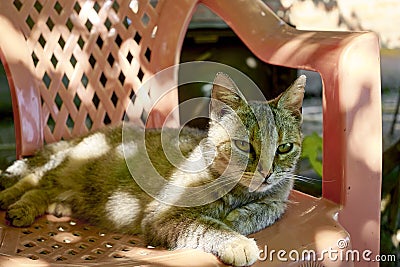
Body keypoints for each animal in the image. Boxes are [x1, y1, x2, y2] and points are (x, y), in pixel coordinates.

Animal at [0, 72, 304, 266]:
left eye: (284, 147)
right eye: (244, 145)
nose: (266, 172)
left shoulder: (278, 201)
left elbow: (265, 210)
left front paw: (238, 217)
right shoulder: (165, 216)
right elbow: (207, 226)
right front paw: (237, 241)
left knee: (43, 188)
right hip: (67, 164)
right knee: (33, 179)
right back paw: (13, 201)